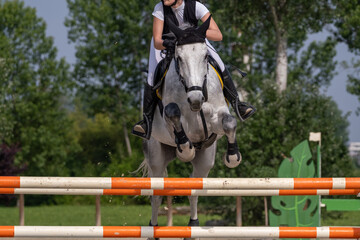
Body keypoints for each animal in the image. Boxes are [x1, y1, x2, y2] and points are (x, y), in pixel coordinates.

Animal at [142, 15, 240, 239]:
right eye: (179, 58)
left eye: (205, 57)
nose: (196, 100)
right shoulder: (173, 121)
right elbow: (174, 113)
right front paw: (186, 150)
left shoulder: (216, 117)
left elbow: (229, 122)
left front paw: (232, 157)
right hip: (156, 157)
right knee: (156, 195)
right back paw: (153, 227)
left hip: (205, 161)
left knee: (194, 188)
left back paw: (193, 225)